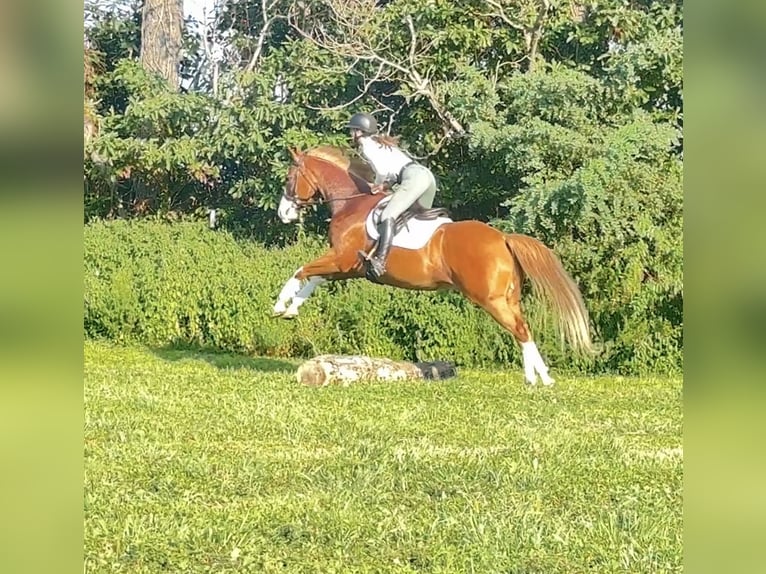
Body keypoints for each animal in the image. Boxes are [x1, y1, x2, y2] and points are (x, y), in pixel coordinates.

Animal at [273, 145, 595, 385]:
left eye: (289, 178)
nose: (283, 213)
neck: (351, 203)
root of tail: (503, 237)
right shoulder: (347, 266)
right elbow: (314, 279)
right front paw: (292, 308)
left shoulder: (342, 259)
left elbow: (301, 271)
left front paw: (279, 305)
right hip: (508, 297)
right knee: (522, 326)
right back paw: (537, 377)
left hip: (489, 299)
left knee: (520, 329)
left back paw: (541, 380)